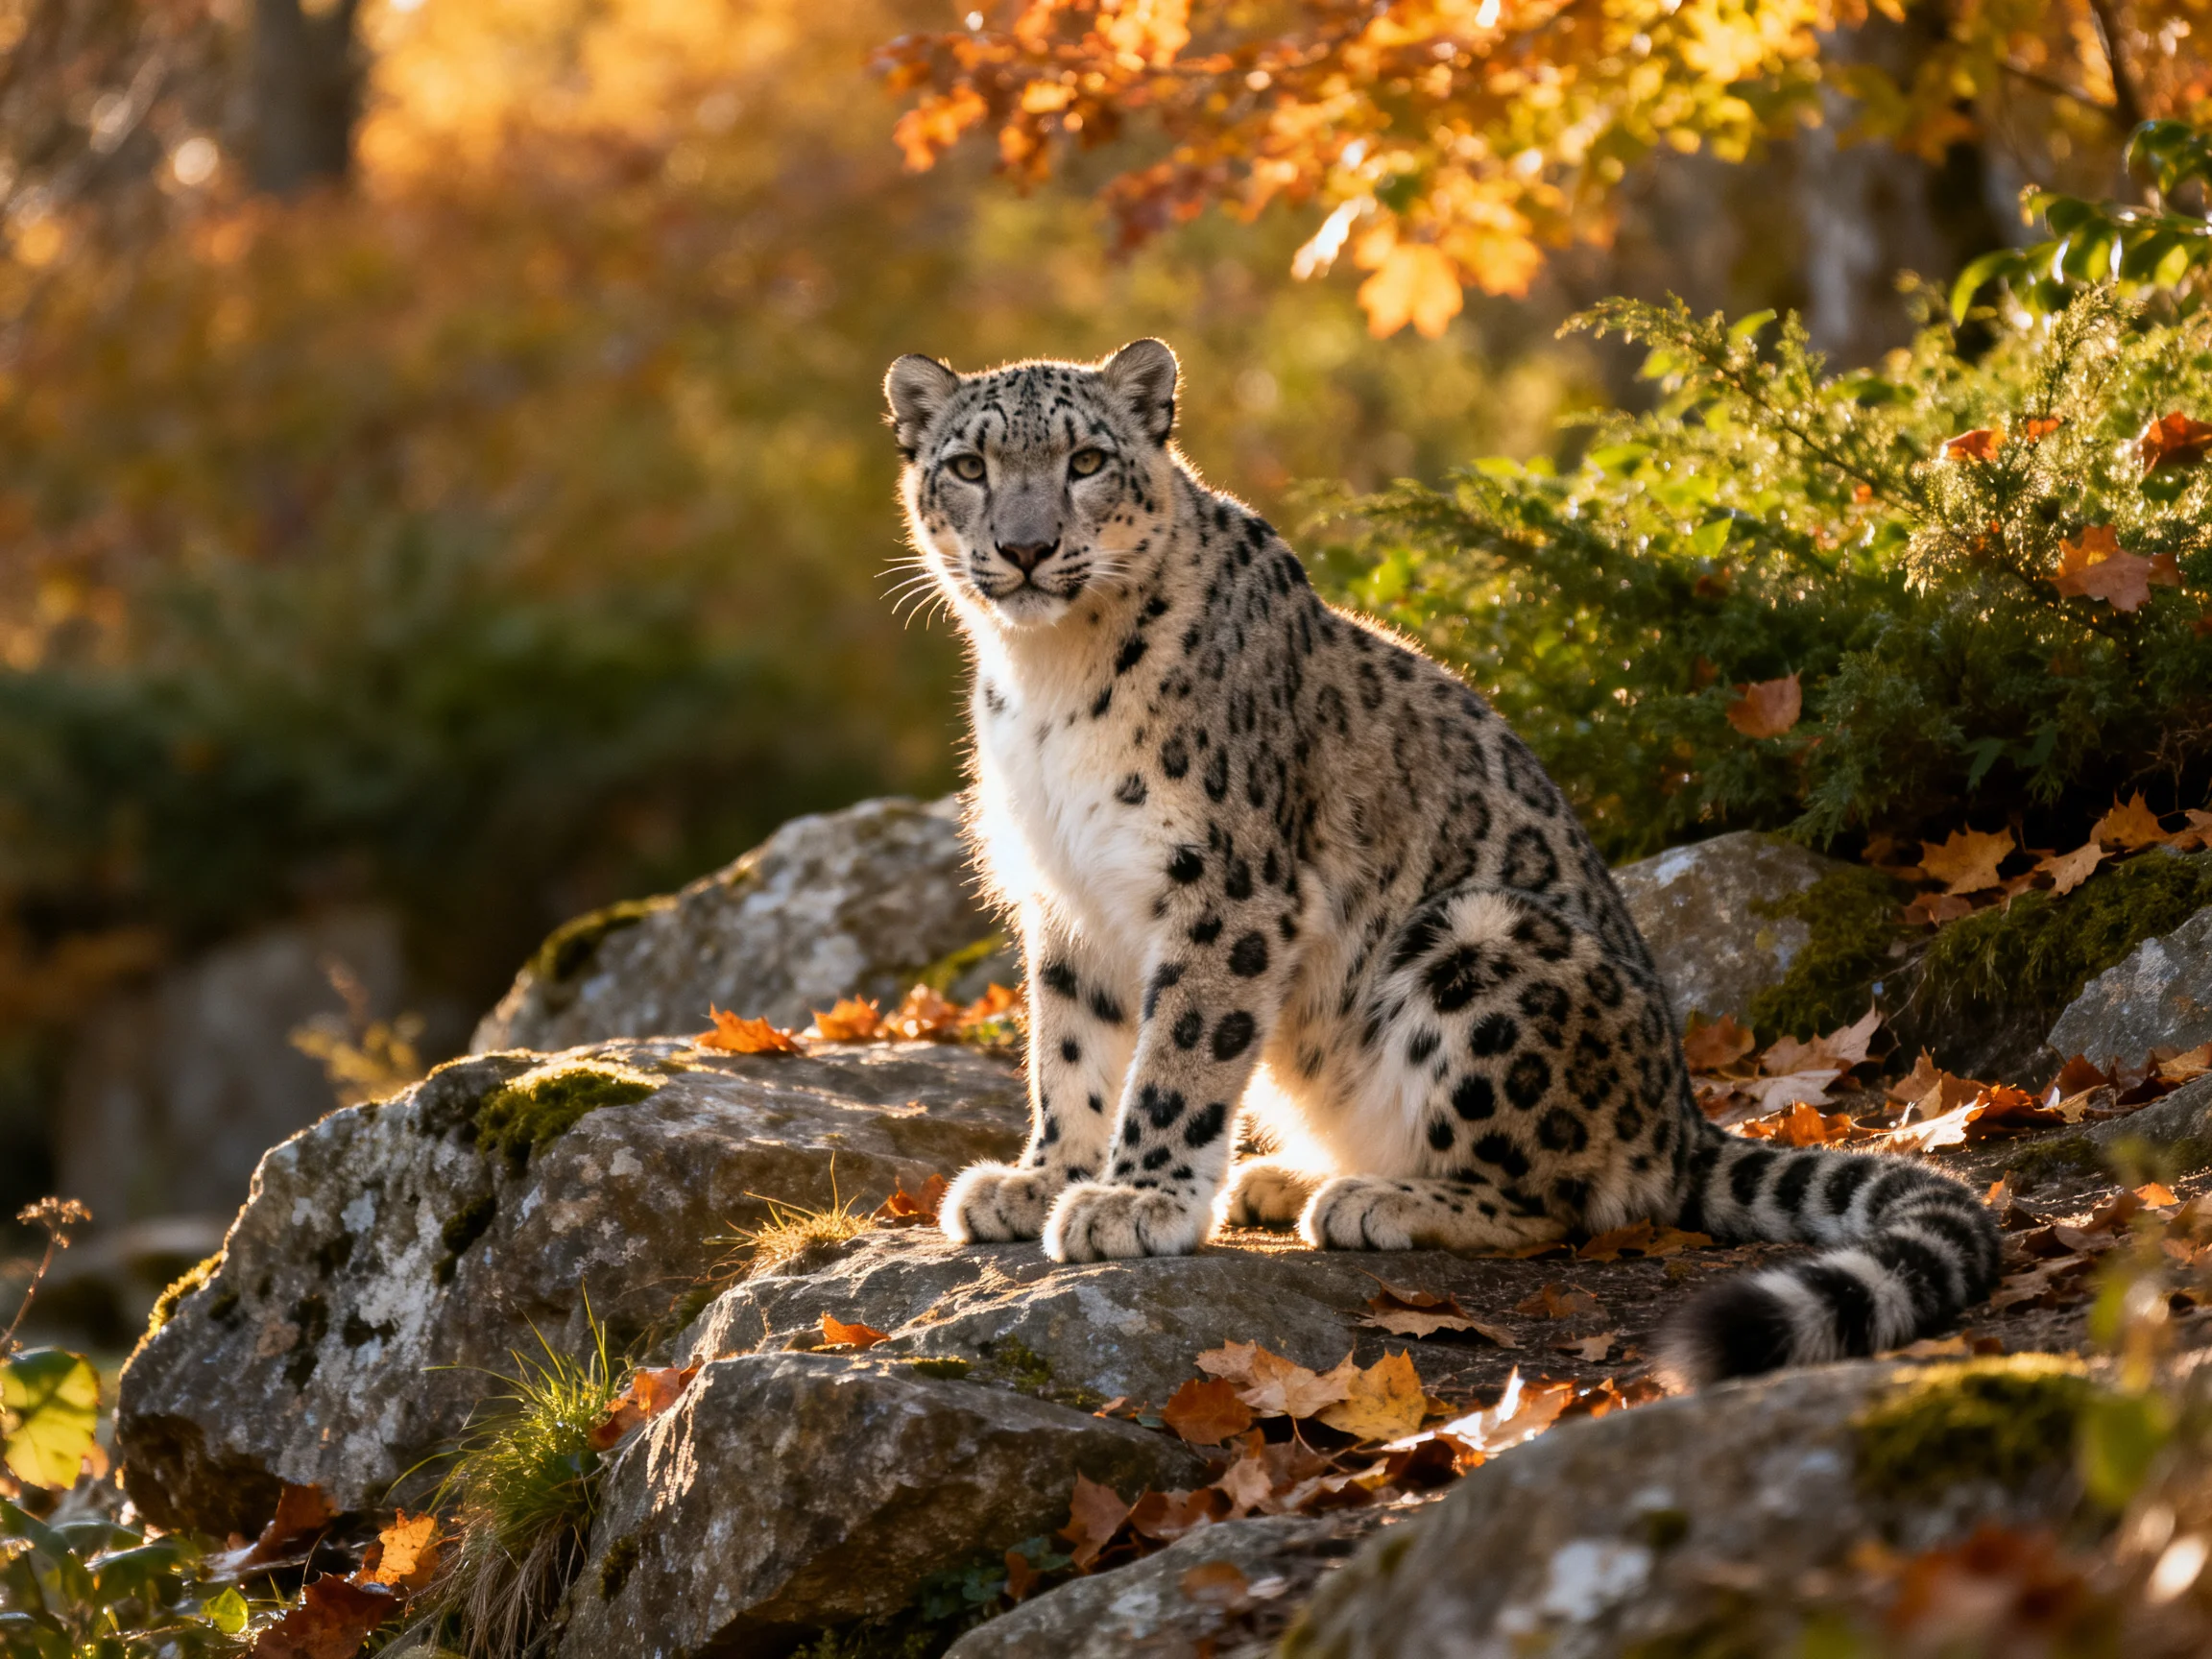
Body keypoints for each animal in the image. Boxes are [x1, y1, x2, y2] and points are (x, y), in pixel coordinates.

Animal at [883, 338, 2000, 1386]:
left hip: (1478, 941)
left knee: (1563, 1198)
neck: (1048, 676)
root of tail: (1680, 1115)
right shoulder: (1064, 897)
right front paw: (1040, 1179)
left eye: (1086, 461)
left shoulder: (1225, 886)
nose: (1026, 548)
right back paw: (1283, 1177)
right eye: (972, 466)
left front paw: (1134, 1198)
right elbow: (1069, 1048)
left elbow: (1179, 1055)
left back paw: (1369, 1198)